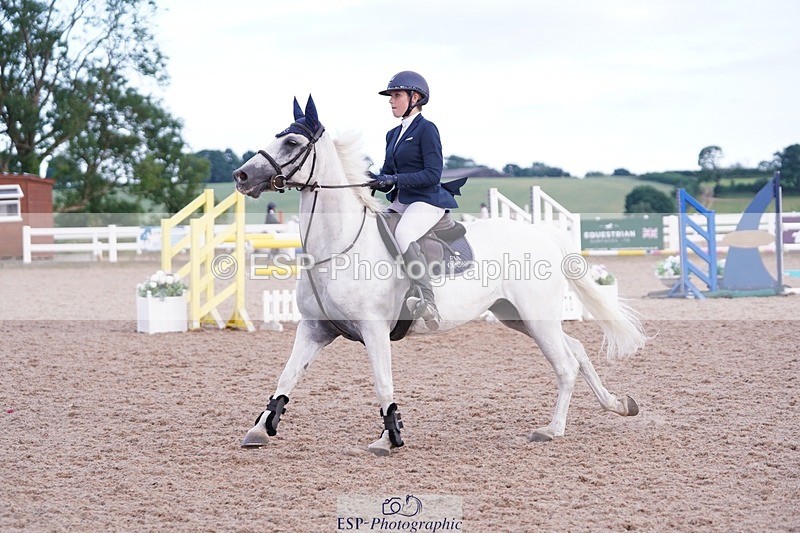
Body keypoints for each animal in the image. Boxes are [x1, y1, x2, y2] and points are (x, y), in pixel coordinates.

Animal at [233, 95, 646, 455]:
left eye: (291, 141)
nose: (241, 175)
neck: (335, 248)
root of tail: (541, 233)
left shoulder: (373, 329)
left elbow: (383, 384)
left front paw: (389, 438)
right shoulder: (314, 329)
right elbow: (286, 379)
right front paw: (261, 428)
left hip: (536, 316)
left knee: (565, 364)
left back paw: (553, 429)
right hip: (516, 316)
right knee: (576, 350)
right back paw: (618, 404)